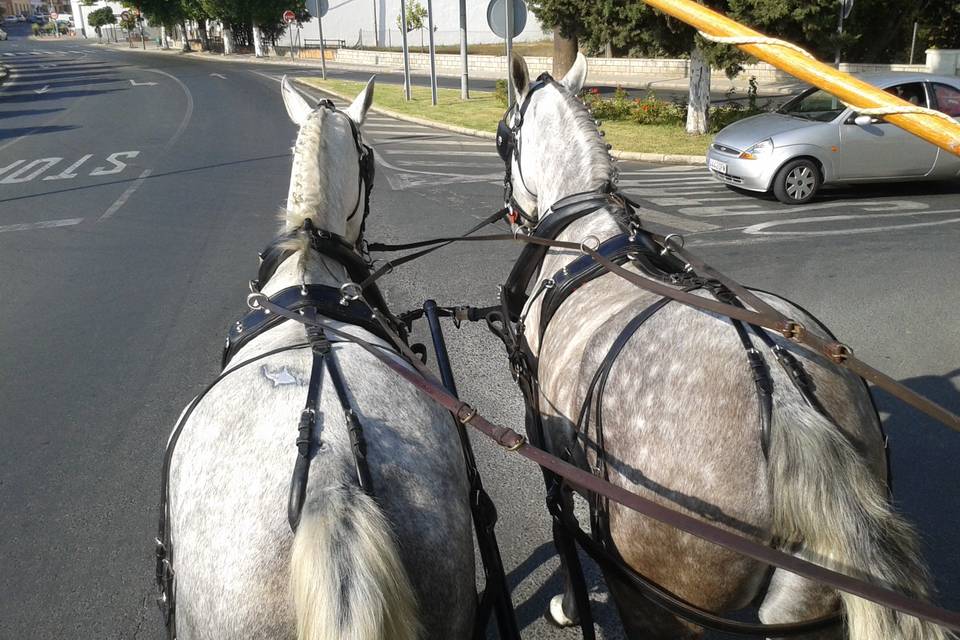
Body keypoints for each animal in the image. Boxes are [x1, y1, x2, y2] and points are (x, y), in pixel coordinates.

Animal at [506, 53, 948, 640]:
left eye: (502, 136)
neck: (590, 234)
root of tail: (789, 413)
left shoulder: (545, 432)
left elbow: (562, 525)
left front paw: (570, 605)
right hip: (811, 606)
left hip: (661, 592)